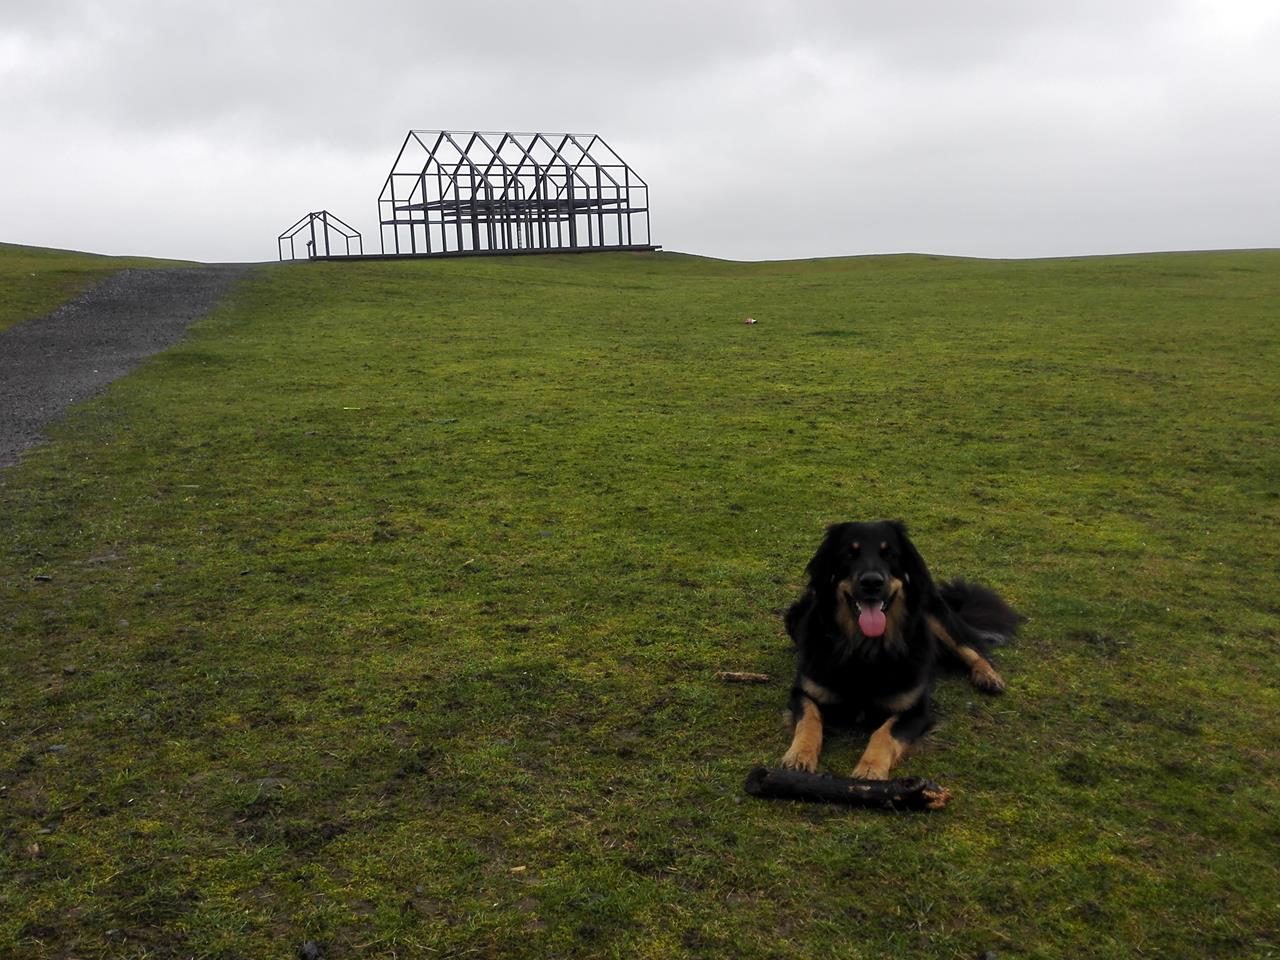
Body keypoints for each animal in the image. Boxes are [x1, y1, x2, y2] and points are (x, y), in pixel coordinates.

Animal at [778, 522, 1018, 778]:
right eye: (849, 554)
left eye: (890, 554)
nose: (872, 582)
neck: (865, 650)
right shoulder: (804, 691)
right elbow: (810, 720)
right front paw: (799, 756)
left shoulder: (916, 709)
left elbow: (883, 733)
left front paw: (870, 769)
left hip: (932, 613)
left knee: (971, 648)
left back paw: (988, 676)